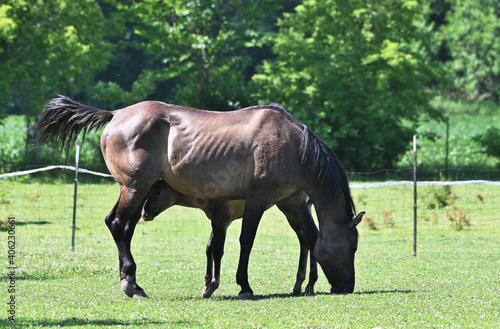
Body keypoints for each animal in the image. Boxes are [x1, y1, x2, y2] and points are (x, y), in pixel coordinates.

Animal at [143, 178, 318, 296]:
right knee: (307, 238)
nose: (144, 213)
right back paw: (306, 284)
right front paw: (206, 284)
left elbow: (218, 251)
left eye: (157, 191)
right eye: (148, 191)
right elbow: (209, 248)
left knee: (307, 237)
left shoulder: (221, 219)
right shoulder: (218, 220)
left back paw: (305, 284)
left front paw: (212, 287)